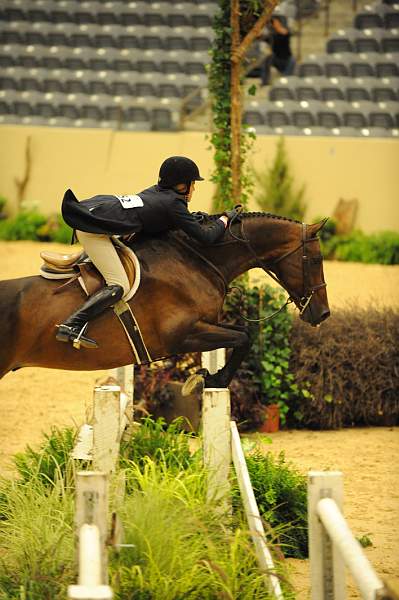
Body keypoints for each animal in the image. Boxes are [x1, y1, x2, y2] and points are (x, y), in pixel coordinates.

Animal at [0, 214, 332, 390]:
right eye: (316, 260)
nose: (323, 314)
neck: (197, 259)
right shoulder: (181, 335)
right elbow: (244, 337)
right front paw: (213, 380)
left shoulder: (203, 327)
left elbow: (242, 335)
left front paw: (209, 378)